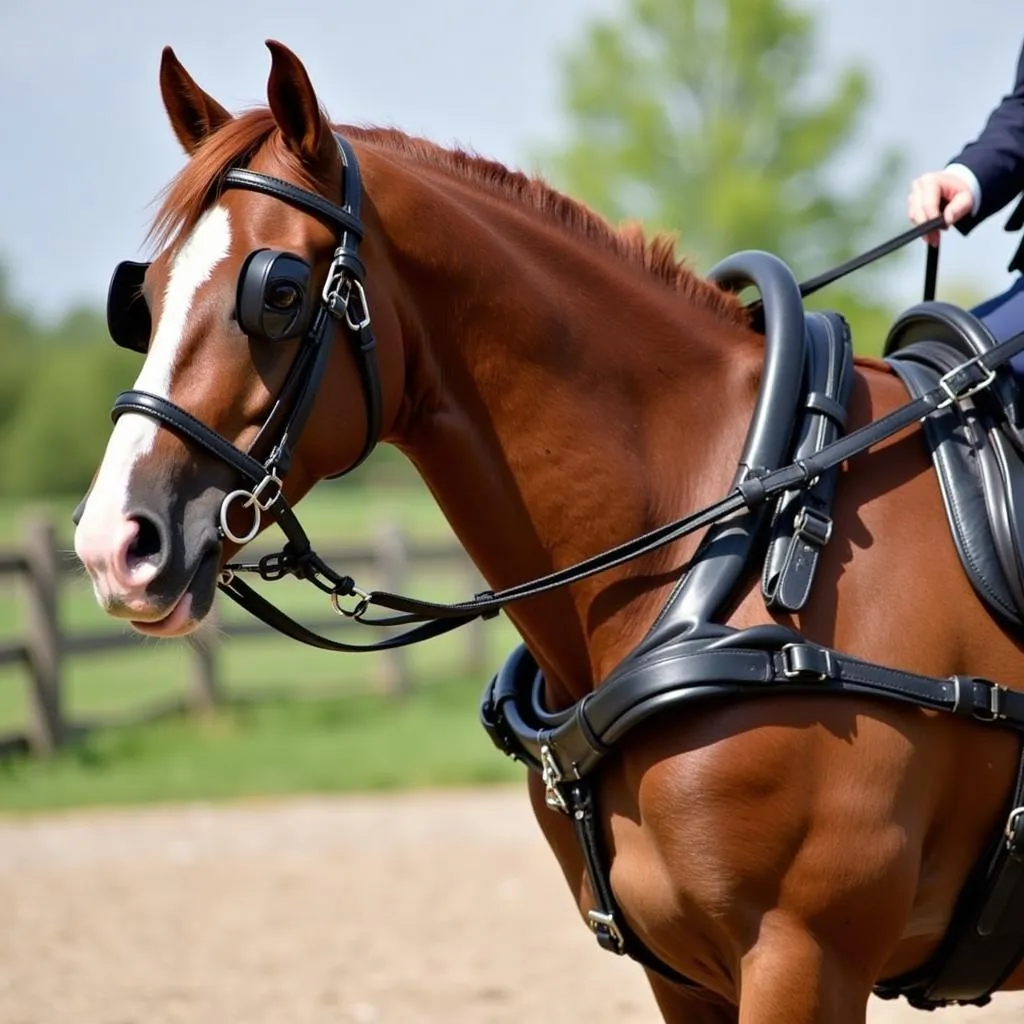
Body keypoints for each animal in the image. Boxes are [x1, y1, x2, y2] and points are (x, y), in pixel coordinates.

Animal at [74, 39, 1024, 1024]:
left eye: (281, 292)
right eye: (145, 296)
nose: (114, 544)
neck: (746, 530)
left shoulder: (805, 959)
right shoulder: (683, 975)